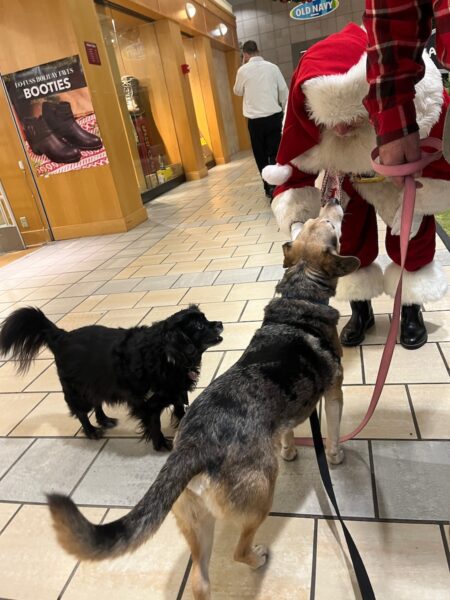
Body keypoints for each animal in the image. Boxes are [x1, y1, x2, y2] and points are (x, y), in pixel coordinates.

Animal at [0, 304, 224, 450]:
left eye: (205, 319)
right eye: (199, 326)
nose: (220, 323)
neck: (167, 355)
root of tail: (61, 336)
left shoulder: (175, 390)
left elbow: (179, 408)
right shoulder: (148, 403)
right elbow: (154, 424)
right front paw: (160, 444)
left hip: (96, 385)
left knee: (97, 403)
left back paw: (104, 420)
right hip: (77, 391)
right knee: (81, 413)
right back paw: (91, 431)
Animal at [47, 200, 360, 600]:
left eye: (308, 224)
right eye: (328, 226)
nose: (332, 201)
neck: (300, 295)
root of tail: (192, 448)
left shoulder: (289, 414)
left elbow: (288, 432)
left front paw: (290, 449)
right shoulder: (335, 392)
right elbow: (333, 432)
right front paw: (335, 456)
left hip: (195, 520)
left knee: (200, 580)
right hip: (260, 495)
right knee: (238, 551)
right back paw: (257, 557)